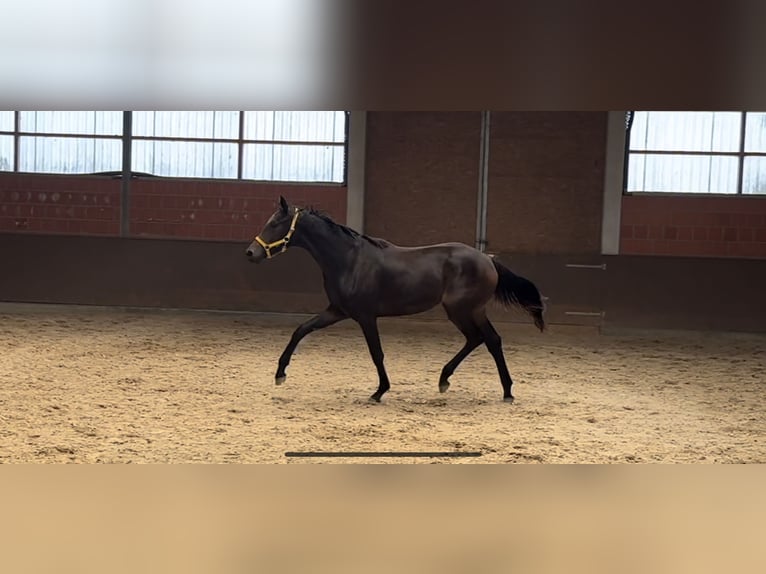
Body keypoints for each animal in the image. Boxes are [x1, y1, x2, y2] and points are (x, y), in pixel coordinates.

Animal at [246, 198, 544, 404]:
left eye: (275, 223)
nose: (251, 253)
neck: (348, 259)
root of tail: (488, 260)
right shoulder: (337, 311)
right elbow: (301, 330)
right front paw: (280, 374)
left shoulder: (366, 316)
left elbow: (376, 352)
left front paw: (379, 391)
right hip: (471, 310)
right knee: (486, 339)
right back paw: (479, 386)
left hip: (461, 310)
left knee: (483, 339)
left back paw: (487, 387)